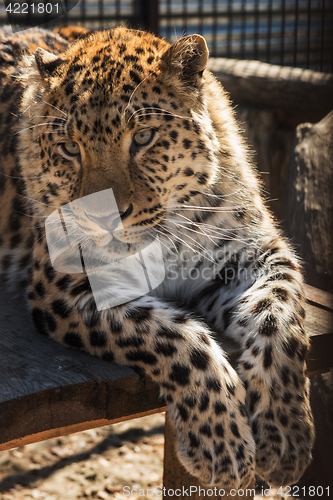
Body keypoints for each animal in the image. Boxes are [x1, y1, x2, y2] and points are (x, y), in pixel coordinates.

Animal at [0, 23, 314, 488]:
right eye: (70, 148)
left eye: (144, 138)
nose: (103, 219)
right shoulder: (65, 290)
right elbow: (176, 337)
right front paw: (220, 444)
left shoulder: (255, 252)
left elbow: (280, 317)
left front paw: (286, 436)